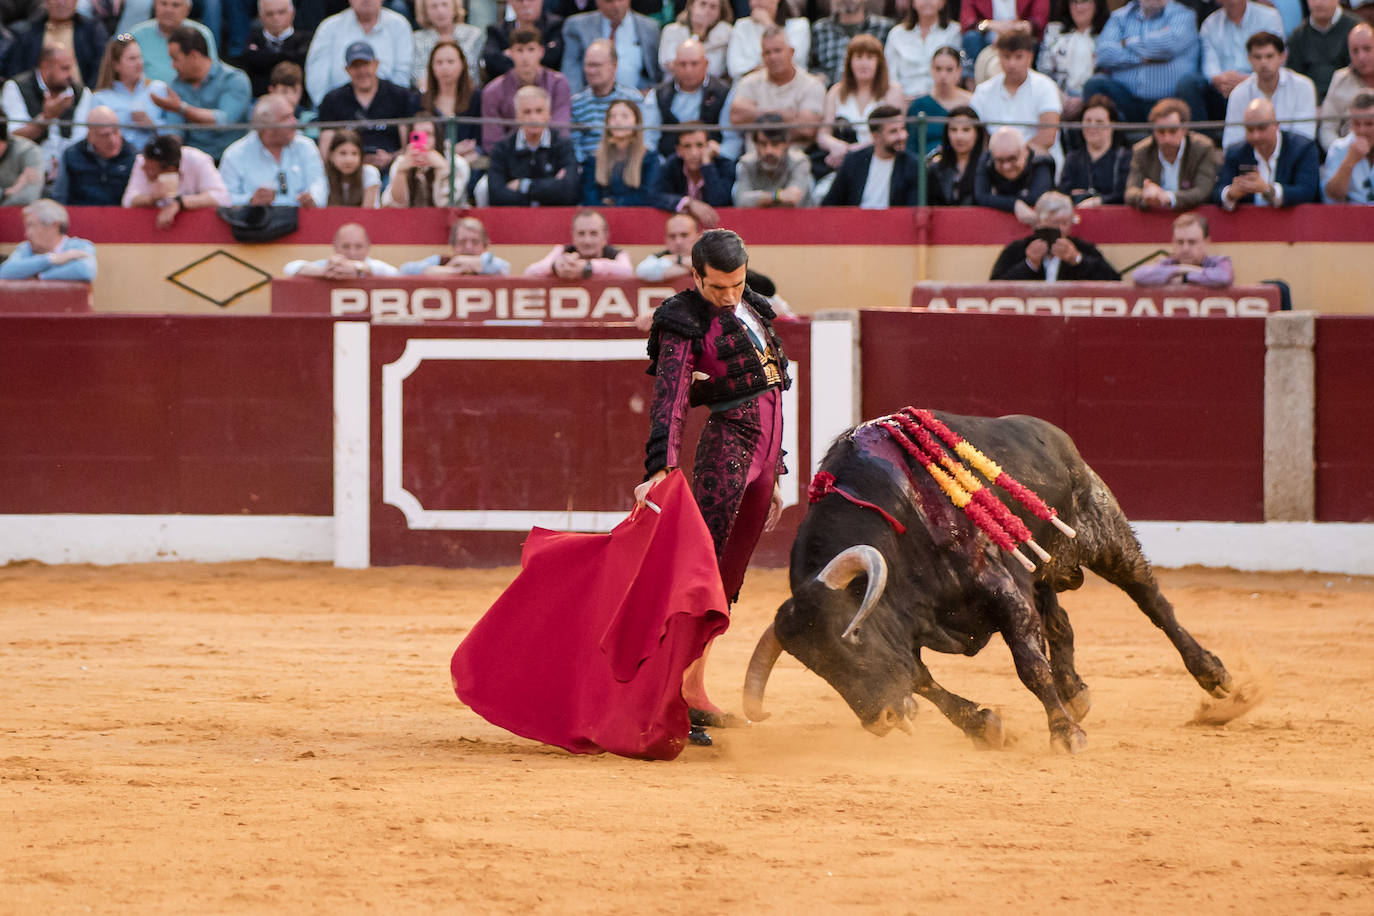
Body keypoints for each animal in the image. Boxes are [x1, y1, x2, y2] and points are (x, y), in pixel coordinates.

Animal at [741, 409, 1236, 752]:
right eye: (818, 667)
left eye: (855, 637)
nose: (880, 719)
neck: (897, 521)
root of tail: (1056, 436)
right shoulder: (909, 625)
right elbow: (921, 680)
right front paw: (984, 726)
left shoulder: (1001, 590)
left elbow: (1029, 666)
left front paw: (1065, 735)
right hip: (1038, 568)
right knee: (1060, 623)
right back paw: (1075, 692)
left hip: (1104, 533)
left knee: (1151, 600)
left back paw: (1216, 676)